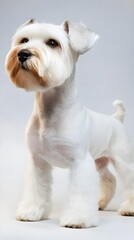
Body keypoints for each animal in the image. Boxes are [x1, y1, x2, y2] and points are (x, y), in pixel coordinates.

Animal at [5, 19, 134, 228]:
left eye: (52, 43)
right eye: (24, 40)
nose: (23, 53)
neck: (49, 111)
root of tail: (116, 118)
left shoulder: (80, 162)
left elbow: (80, 193)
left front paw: (77, 219)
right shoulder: (37, 161)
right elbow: (36, 189)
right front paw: (31, 211)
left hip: (122, 161)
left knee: (128, 181)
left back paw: (128, 208)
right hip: (100, 161)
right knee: (109, 179)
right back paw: (100, 202)